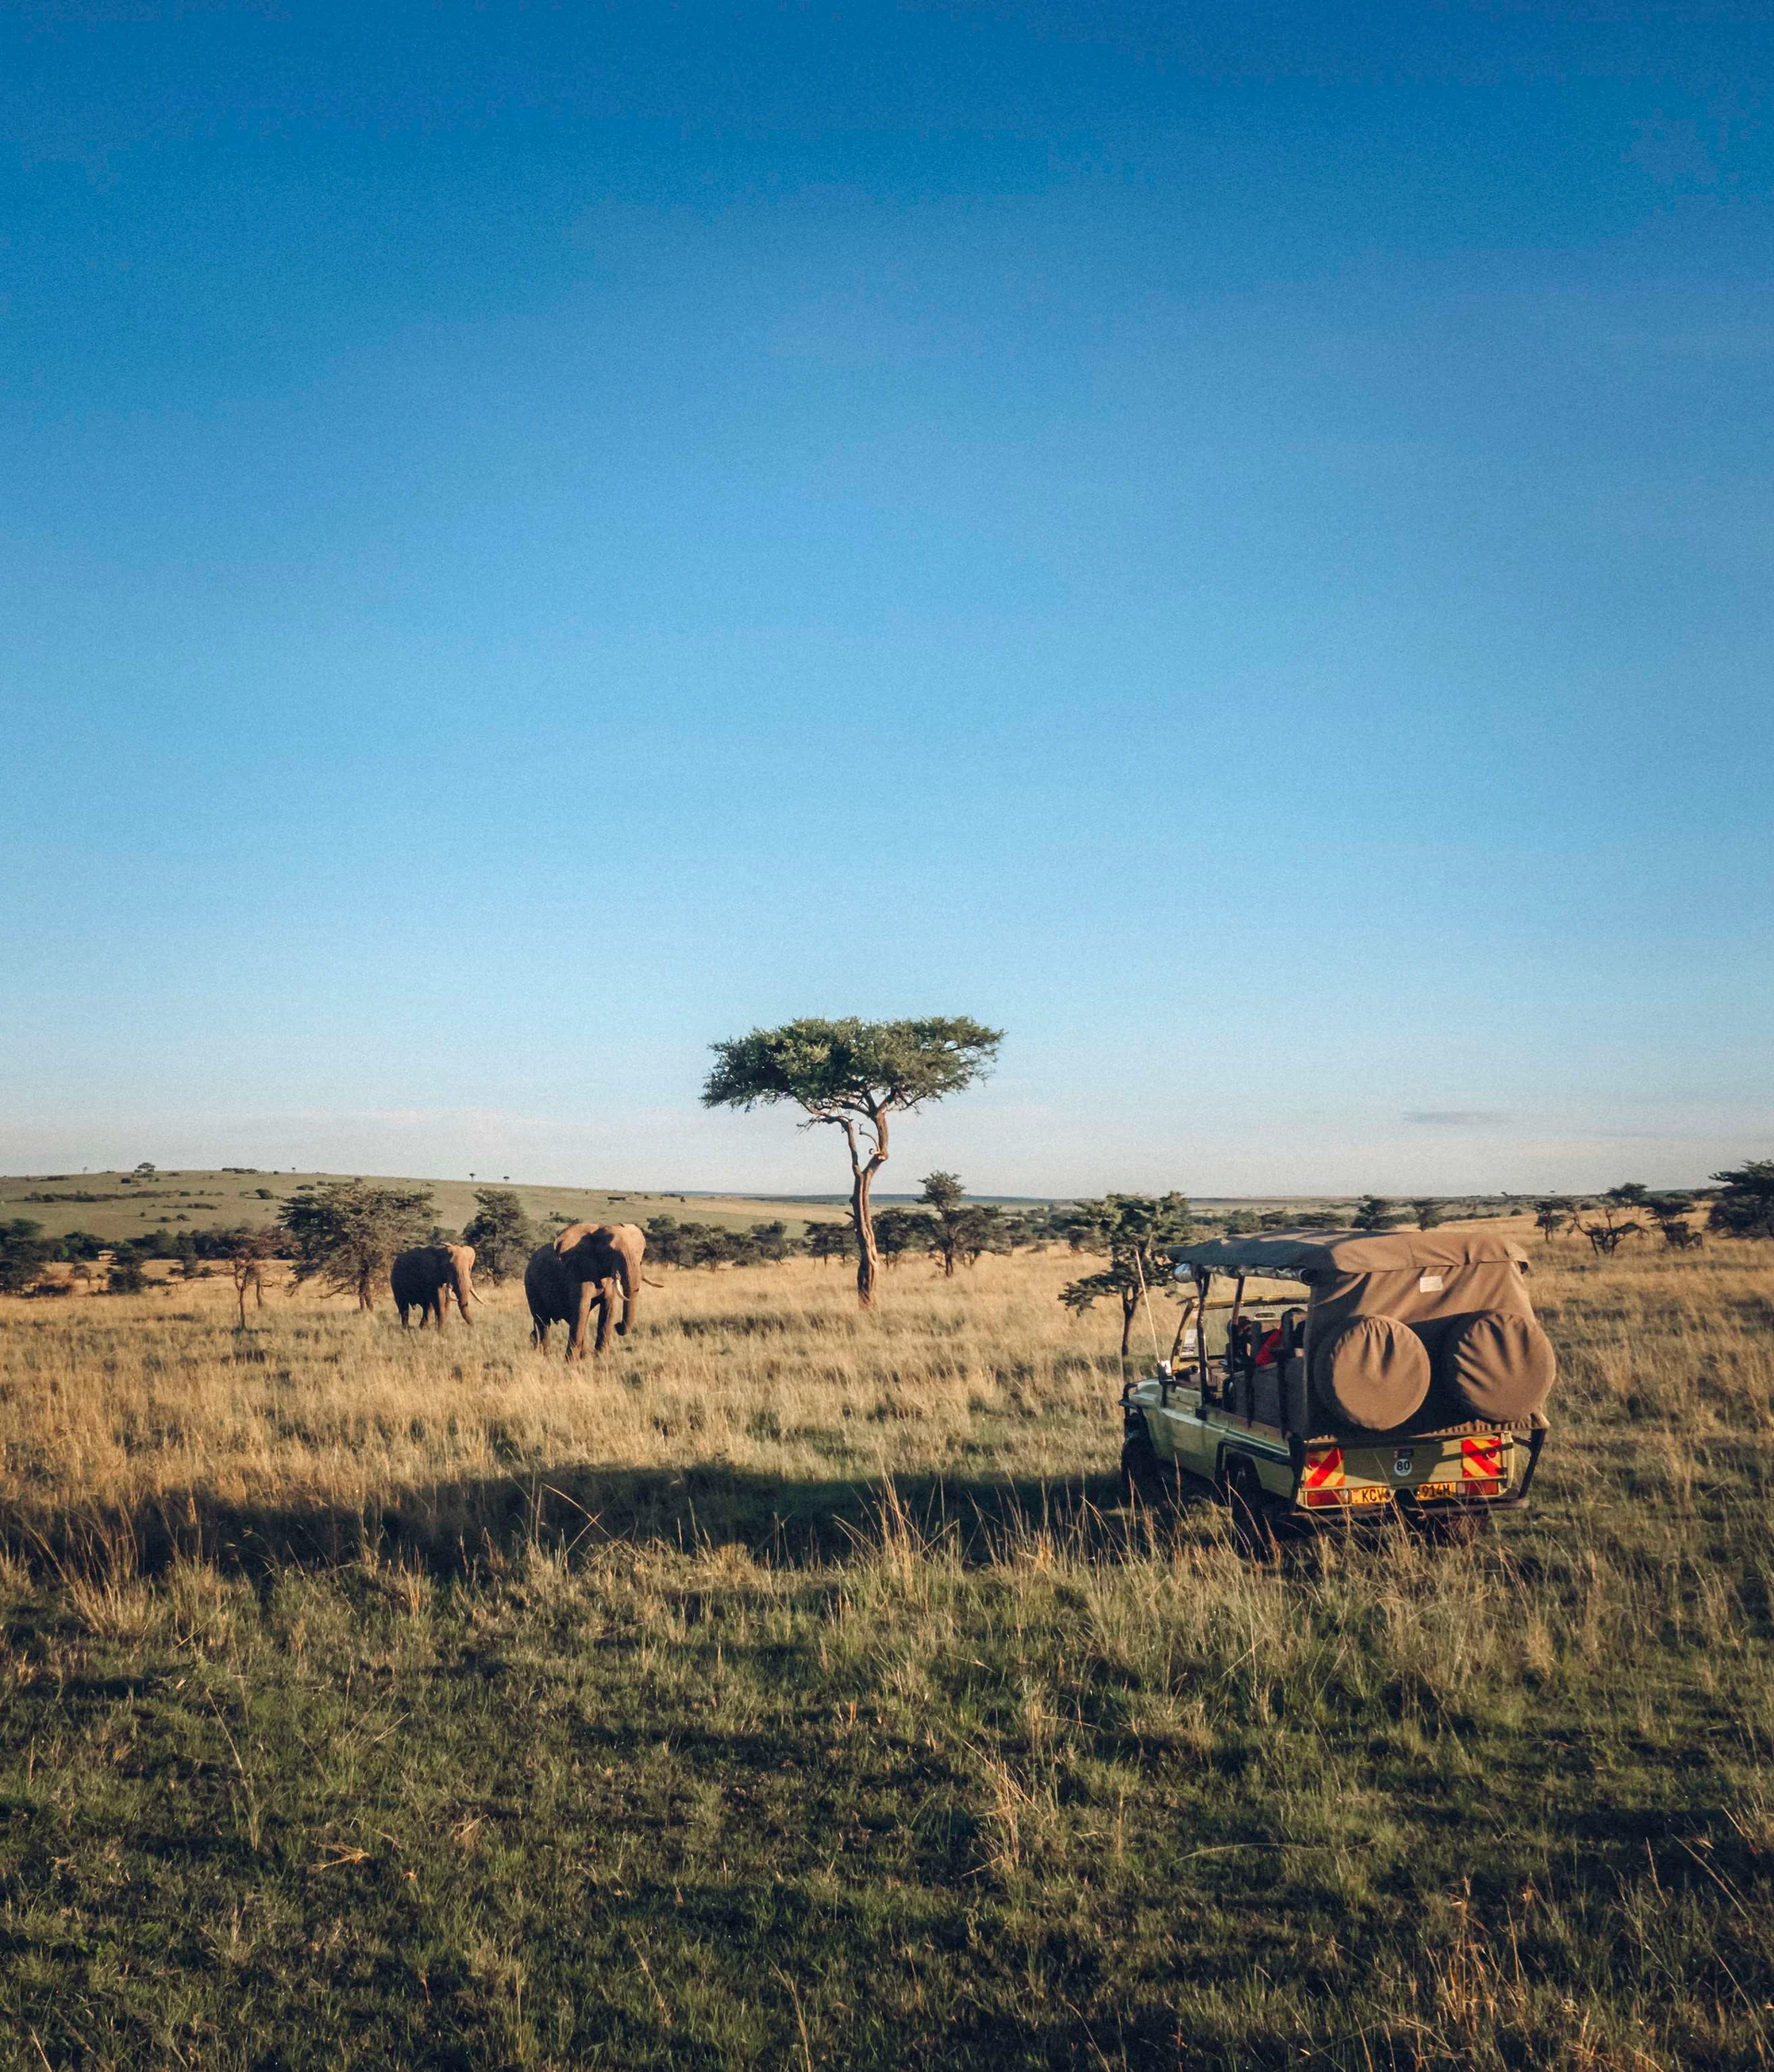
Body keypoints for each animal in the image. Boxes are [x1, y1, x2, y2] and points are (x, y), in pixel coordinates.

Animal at [525, 1222, 645, 1359]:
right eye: (610, 1251)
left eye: (641, 1252)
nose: (618, 1325)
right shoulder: (579, 1272)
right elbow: (582, 1307)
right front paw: (571, 1361)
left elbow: (608, 1309)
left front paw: (600, 1357)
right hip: (531, 1284)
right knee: (543, 1322)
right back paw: (546, 1356)